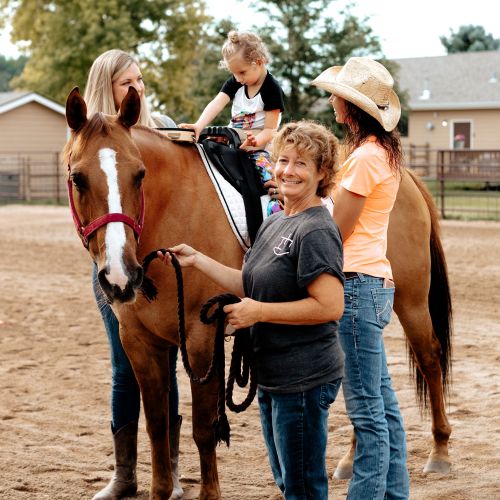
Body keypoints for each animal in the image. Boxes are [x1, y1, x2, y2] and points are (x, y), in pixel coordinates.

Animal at [63, 86, 454, 496]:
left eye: (139, 175)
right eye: (78, 178)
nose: (119, 276)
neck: (169, 212)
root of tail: (407, 177)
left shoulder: (203, 335)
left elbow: (203, 429)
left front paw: (210, 494)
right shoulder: (139, 341)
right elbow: (157, 428)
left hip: (411, 302)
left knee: (429, 358)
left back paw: (439, 452)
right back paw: (351, 461)